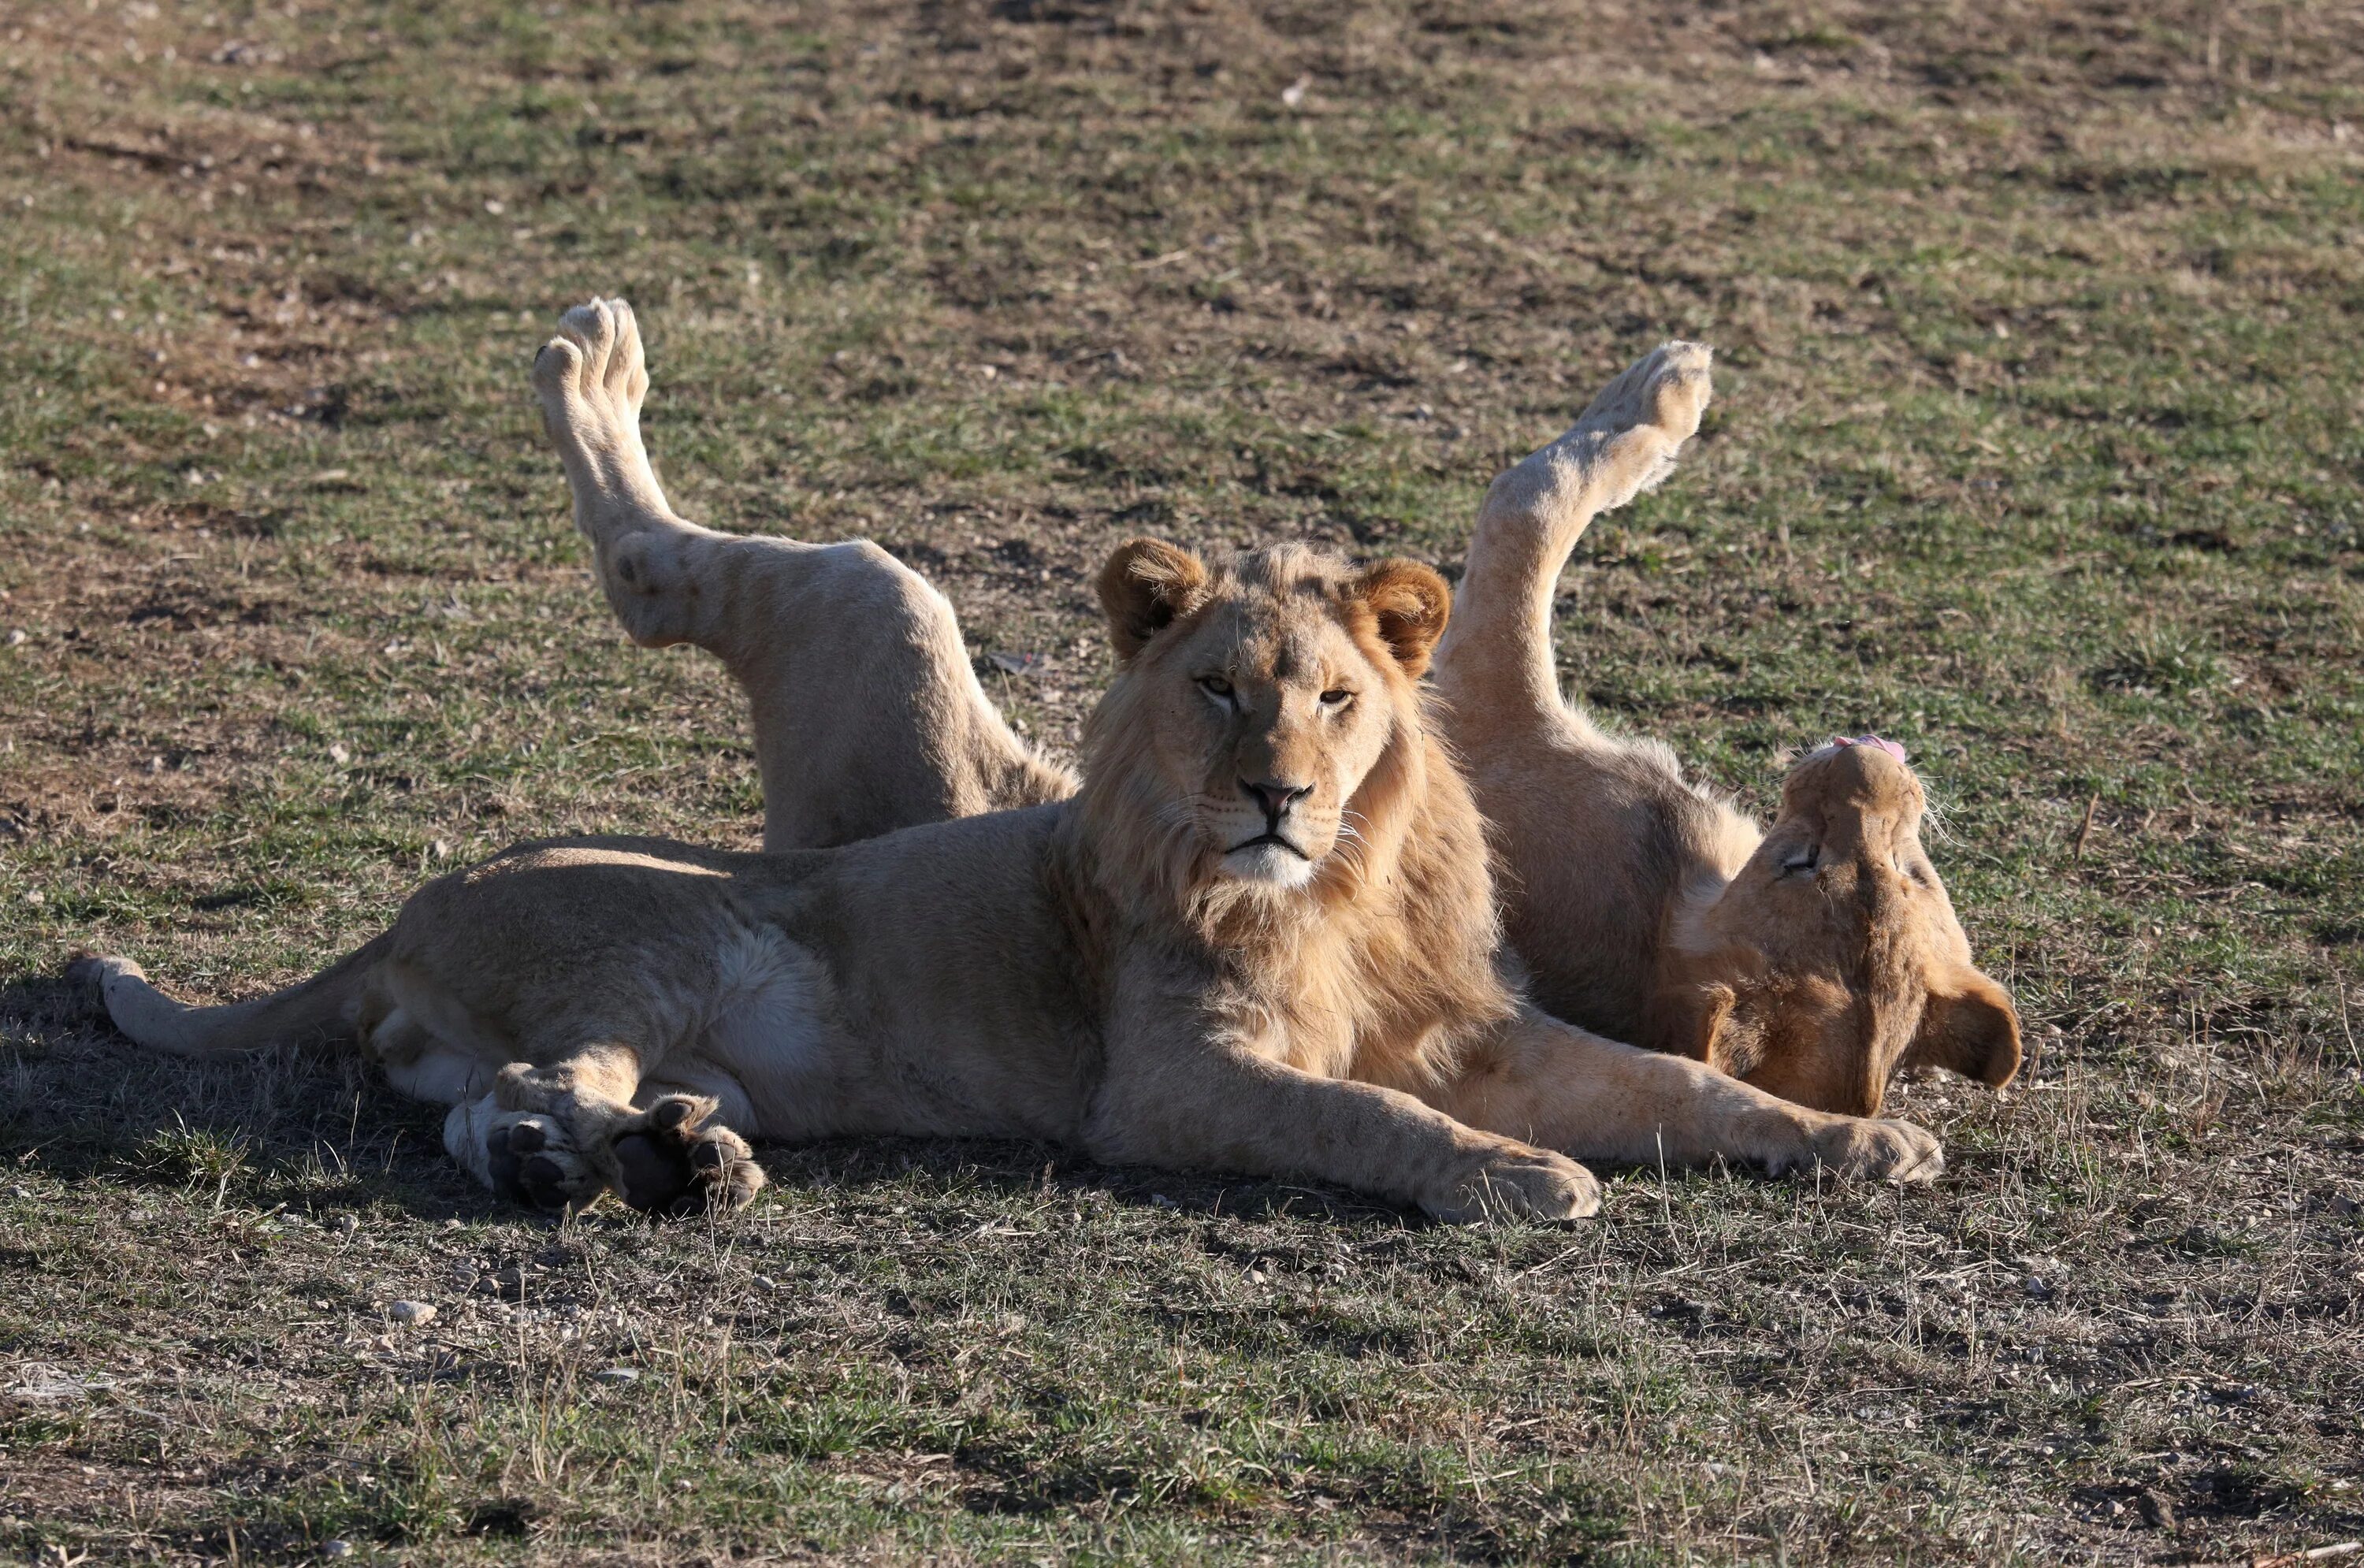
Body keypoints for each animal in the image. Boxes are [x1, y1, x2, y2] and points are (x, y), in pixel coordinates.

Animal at [83, 303, 1948, 1210]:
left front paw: (1857, 1144)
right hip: (661, 929)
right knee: (543, 1063)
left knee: (500, 1103)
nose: (1278, 794)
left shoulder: (1481, 1030)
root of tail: (401, 913)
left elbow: (1682, 1088)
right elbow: (1368, 1120)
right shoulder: (1171, 1084)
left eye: (1336, 701)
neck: (1335, 888)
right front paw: (1513, 1181)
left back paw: (657, 1163)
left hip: (695, 1028)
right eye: (1222, 692)